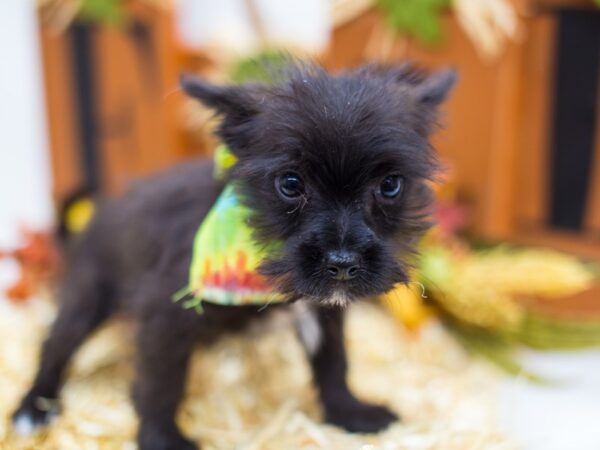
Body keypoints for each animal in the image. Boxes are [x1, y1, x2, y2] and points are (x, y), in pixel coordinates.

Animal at [11, 61, 454, 448]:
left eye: (391, 185)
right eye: (290, 183)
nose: (343, 263)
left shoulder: (324, 311)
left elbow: (333, 363)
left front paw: (349, 413)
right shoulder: (164, 316)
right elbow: (159, 384)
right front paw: (161, 439)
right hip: (87, 297)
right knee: (55, 346)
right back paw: (33, 407)